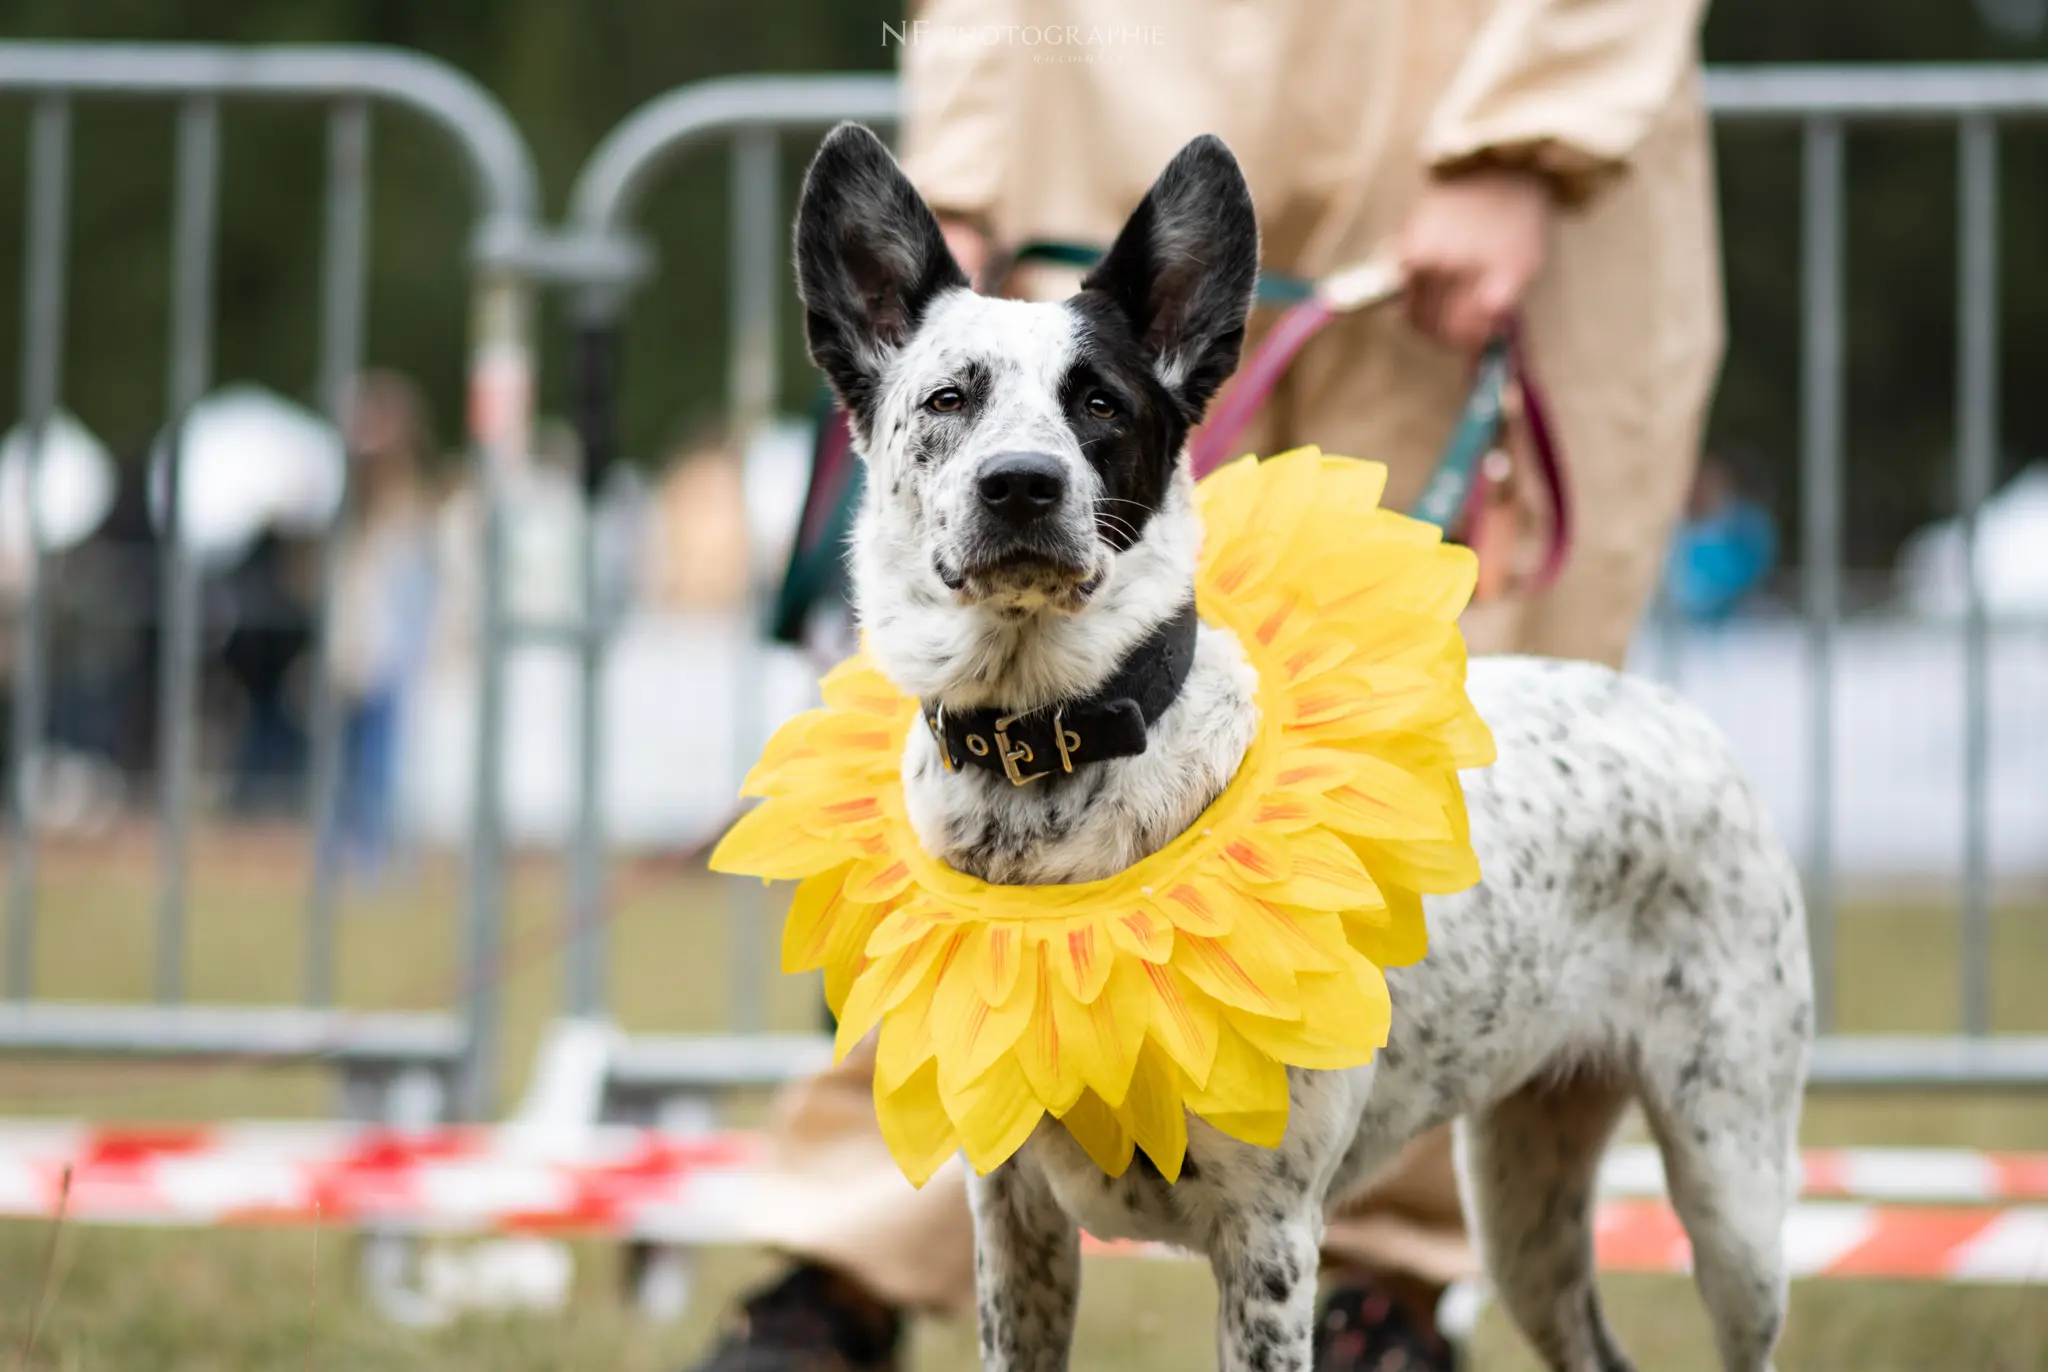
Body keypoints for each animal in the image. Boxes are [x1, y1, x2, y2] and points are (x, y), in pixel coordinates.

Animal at [790, 120, 1818, 1372]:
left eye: (1100, 403)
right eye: (947, 395)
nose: (1020, 485)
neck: (1053, 759)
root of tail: (1666, 710)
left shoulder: (1268, 1232)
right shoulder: (1013, 1219)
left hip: (1728, 1186)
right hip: (1524, 1194)